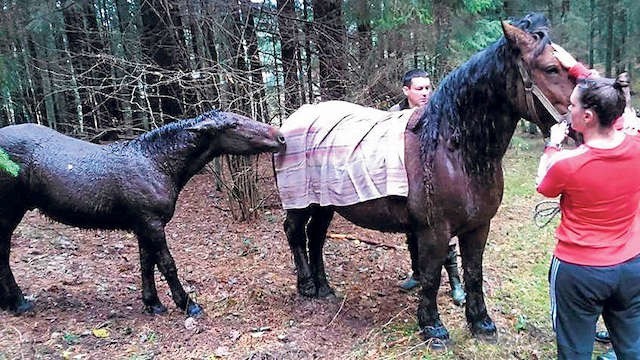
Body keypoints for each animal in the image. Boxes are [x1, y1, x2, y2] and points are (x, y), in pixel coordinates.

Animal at [0, 111, 284, 316]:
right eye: (234, 124)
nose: (280, 137)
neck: (156, 163)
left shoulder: (142, 226)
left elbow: (146, 263)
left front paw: (153, 304)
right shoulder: (152, 224)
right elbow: (167, 264)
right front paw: (188, 304)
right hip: (9, 213)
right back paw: (19, 302)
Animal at [276, 13, 576, 346]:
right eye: (551, 68)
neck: (452, 150)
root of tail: (292, 119)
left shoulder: (479, 226)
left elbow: (474, 273)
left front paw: (481, 323)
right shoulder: (434, 230)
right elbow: (431, 276)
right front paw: (433, 327)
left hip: (325, 203)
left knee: (315, 236)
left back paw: (324, 288)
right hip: (301, 201)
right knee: (295, 232)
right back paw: (306, 286)